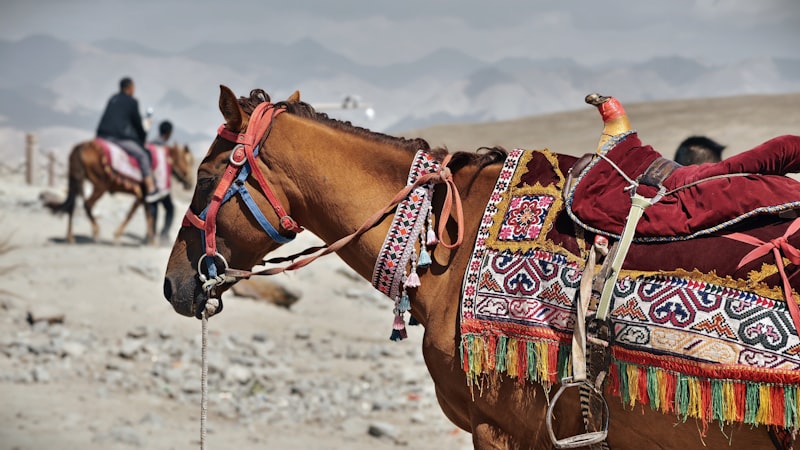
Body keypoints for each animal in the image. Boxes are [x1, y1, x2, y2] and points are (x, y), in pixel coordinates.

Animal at [44, 139, 194, 245]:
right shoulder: (143, 195)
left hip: (77, 182)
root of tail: (81, 147)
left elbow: (147, 216)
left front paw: (151, 241)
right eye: (188, 161)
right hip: (100, 186)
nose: (190, 183)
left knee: (72, 206)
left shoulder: (143, 197)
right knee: (87, 204)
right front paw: (118, 236)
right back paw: (95, 232)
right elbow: (133, 215)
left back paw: (70, 237)